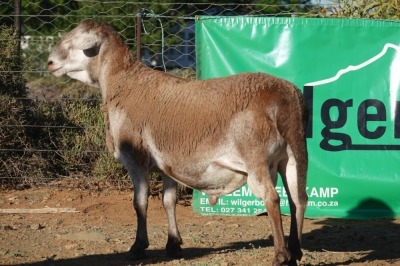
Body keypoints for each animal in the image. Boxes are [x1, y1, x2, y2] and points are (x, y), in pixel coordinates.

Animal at [47, 19, 310, 264]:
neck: (122, 82)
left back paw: (280, 255)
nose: (49, 62)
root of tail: (285, 98)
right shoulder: (167, 163)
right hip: (293, 156)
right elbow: (168, 201)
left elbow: (140, 203)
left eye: (77, 38)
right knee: (298, 199)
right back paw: (295, 251)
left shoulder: (135, 159)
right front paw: (173, 245)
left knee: (272, 198)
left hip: (256, 158)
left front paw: (138, 247)